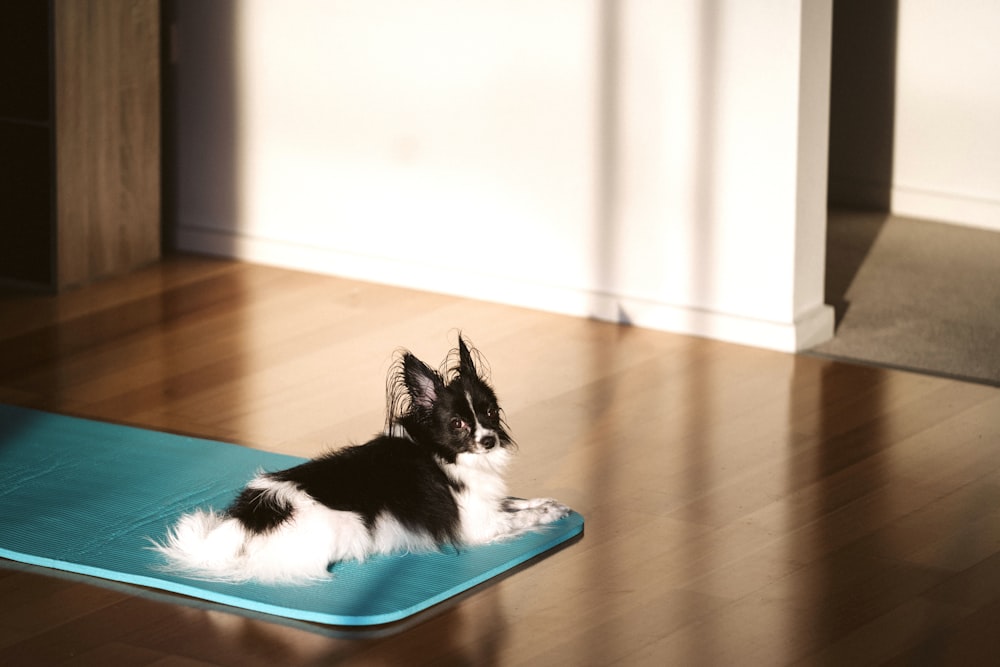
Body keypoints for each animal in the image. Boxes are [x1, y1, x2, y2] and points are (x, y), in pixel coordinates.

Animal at [152, 336, 568, 580]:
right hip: (344, 530)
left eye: (490, 414)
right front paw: (547, 515)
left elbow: (517, 502)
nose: (489, 440)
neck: (445, 454)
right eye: (458, 424)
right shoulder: (477, 525)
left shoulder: (488, 503)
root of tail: (248, 519)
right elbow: (520, 517)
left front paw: (553, 504)